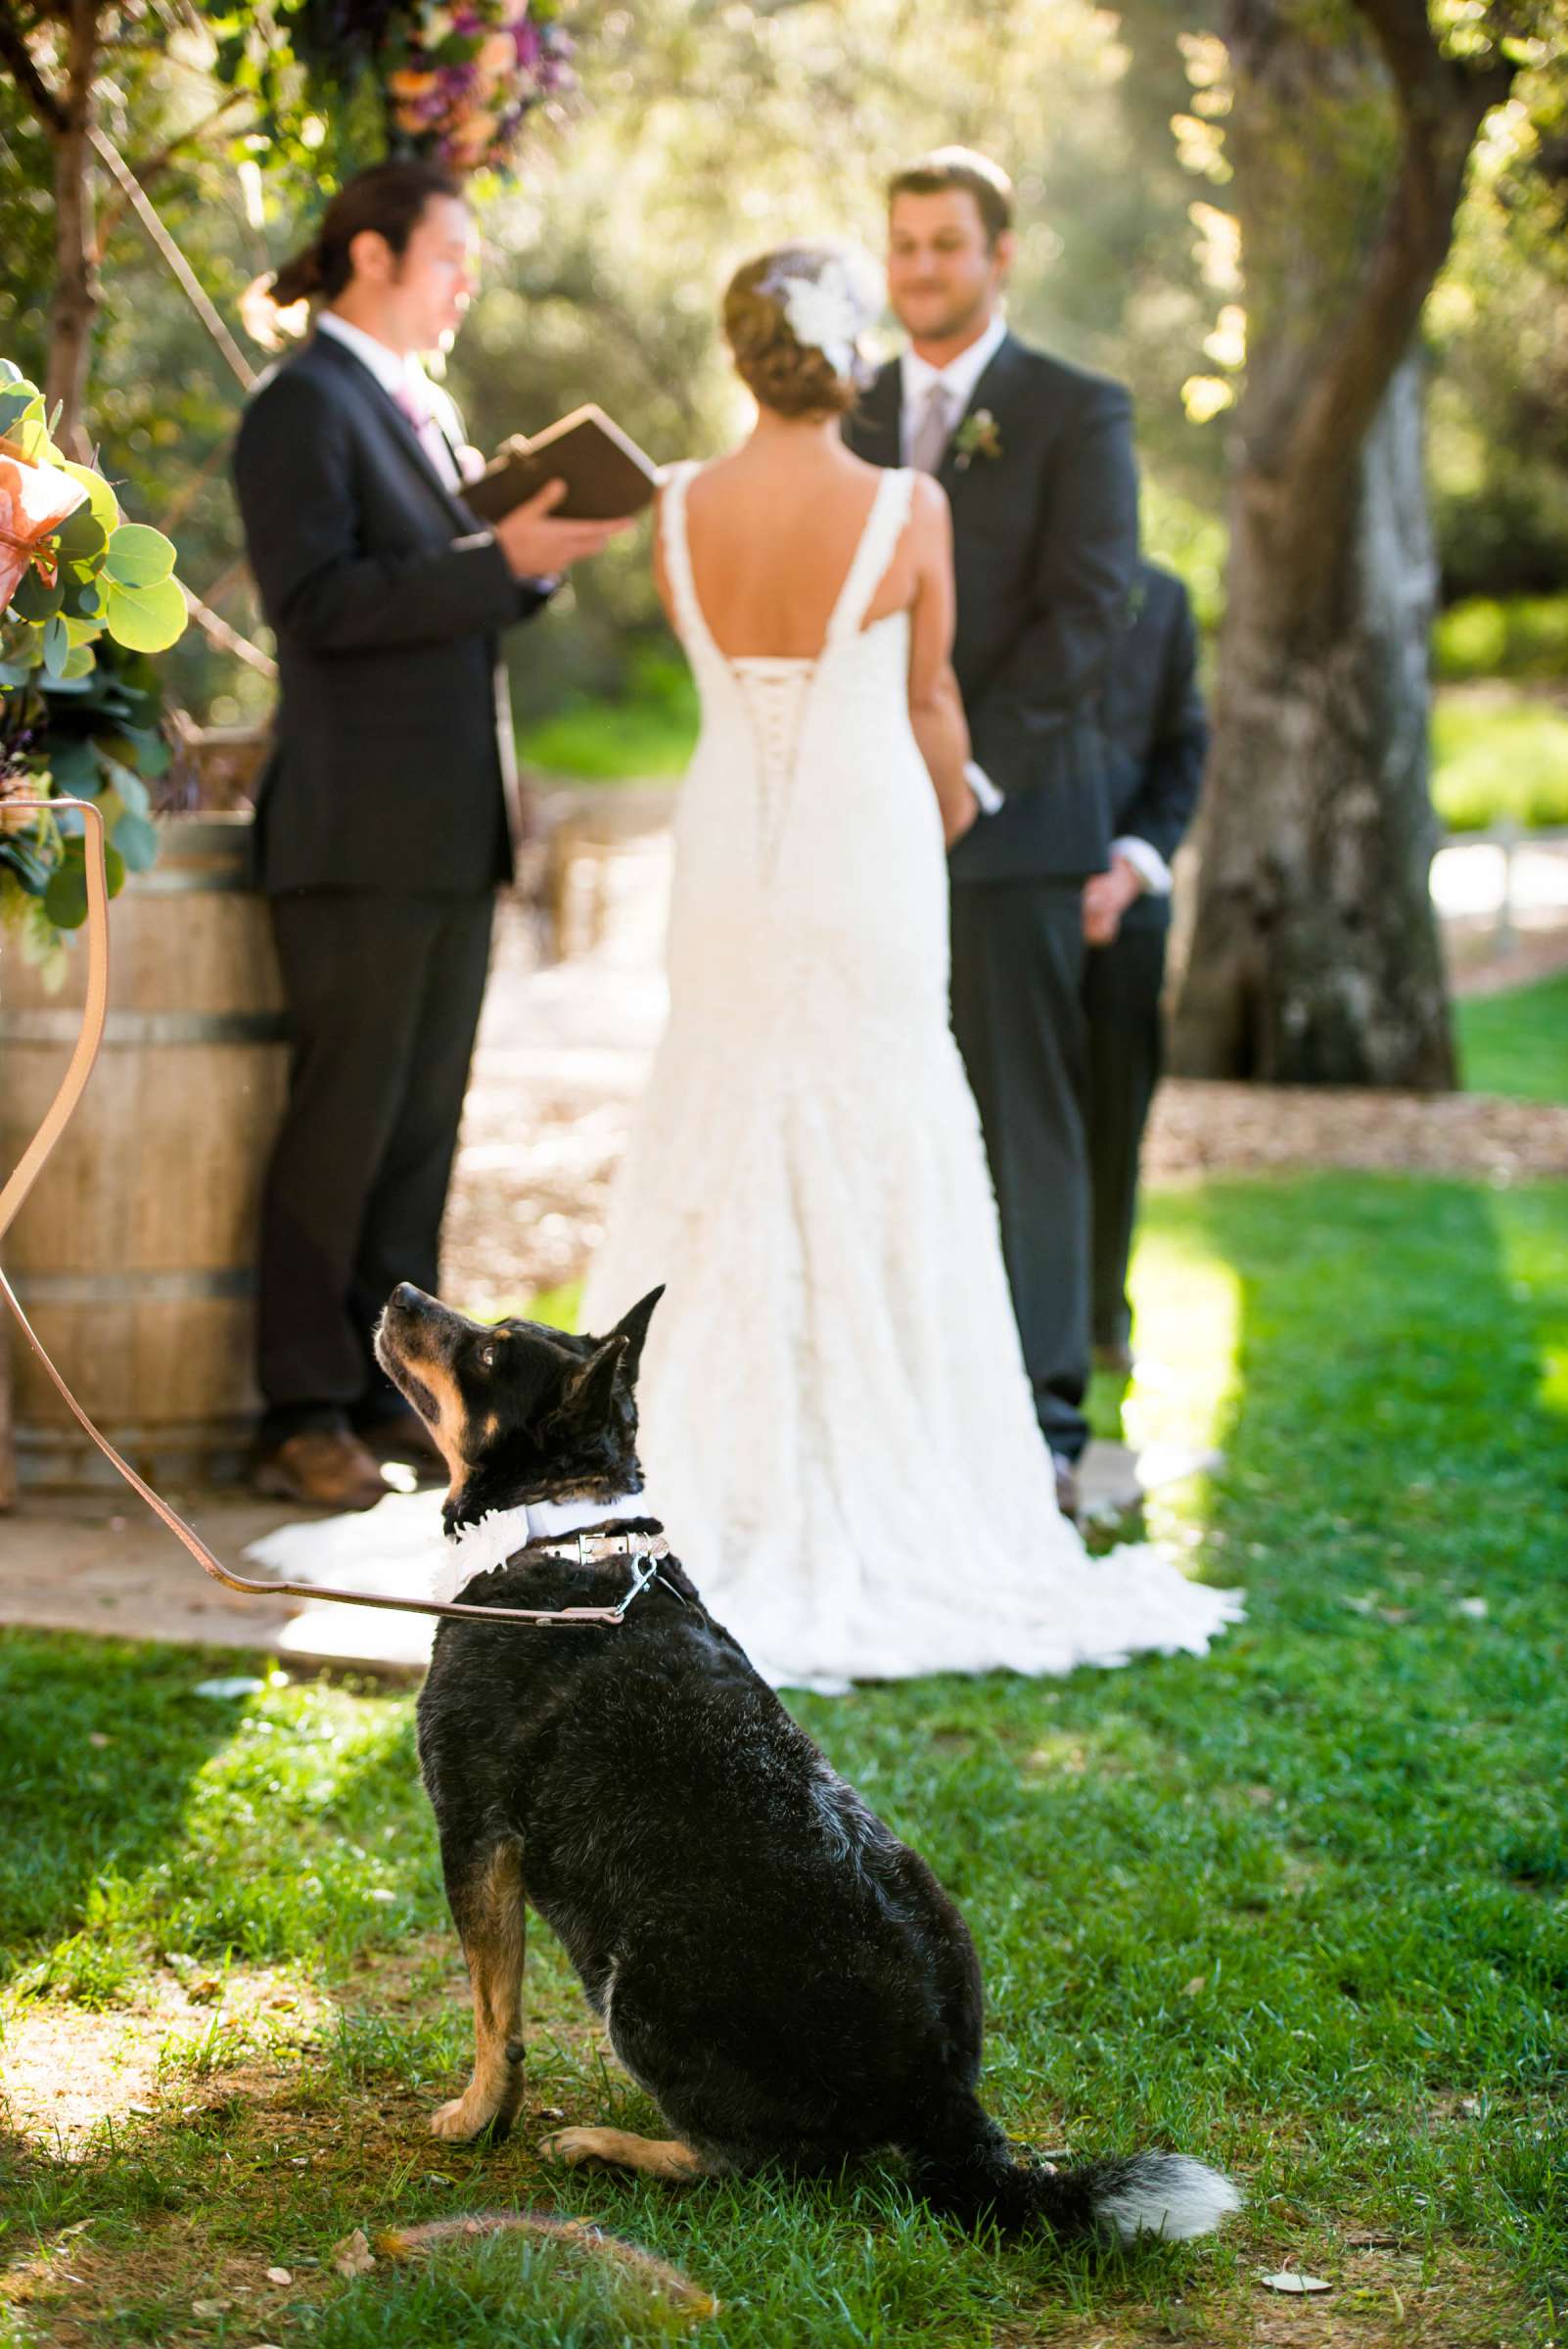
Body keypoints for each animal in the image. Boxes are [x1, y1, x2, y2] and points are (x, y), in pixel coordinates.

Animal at [370, 1287, 1239, 2235]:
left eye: (491, 1356)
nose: (403, 1295)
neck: (562, 1531)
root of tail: (942, 2102)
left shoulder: (475, 1831)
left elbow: (496, 2016)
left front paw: (474, 2120)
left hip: (637, 1986)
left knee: (745, 2164)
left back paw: (610, 2146)